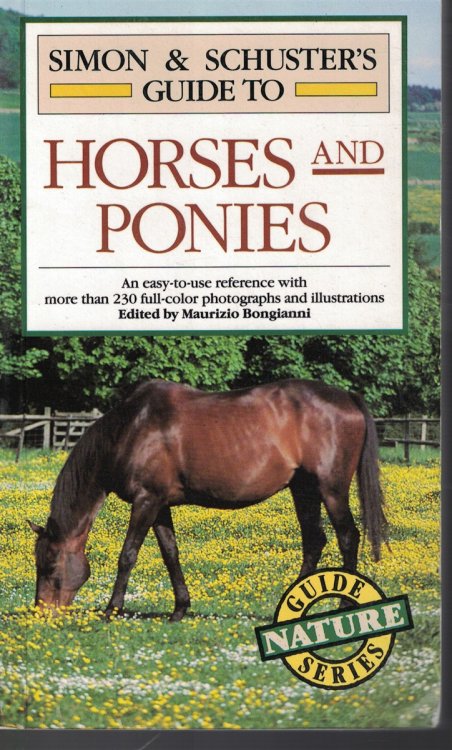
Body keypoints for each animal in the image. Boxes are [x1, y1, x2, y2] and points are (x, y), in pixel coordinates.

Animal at [28, 378, 387, 621]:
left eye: (49, 564)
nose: (41, 612)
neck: (131, 429)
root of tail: (346, 397)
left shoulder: (146, 501)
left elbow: (127, 555)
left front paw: (112, 609)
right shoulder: (160, 505)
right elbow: (171, 554)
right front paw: (179, 609)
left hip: (331, 489)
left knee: (347, 537)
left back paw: (343, 605)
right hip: (304, 490)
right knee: (314, 540)